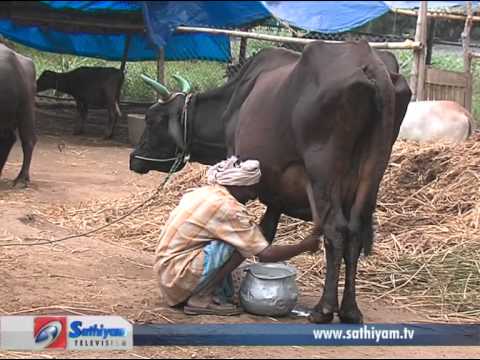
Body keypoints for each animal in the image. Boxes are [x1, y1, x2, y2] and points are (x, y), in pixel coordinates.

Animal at [131, 40, 412, 324]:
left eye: (152, 120)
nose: (134, 159)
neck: (233, 104)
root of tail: (369, 62)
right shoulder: (277, 194)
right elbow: (266, 233)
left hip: (324, 174)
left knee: (336, 232)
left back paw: (323, 309)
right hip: (371, 175)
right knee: (354, 232)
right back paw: (350, 310)